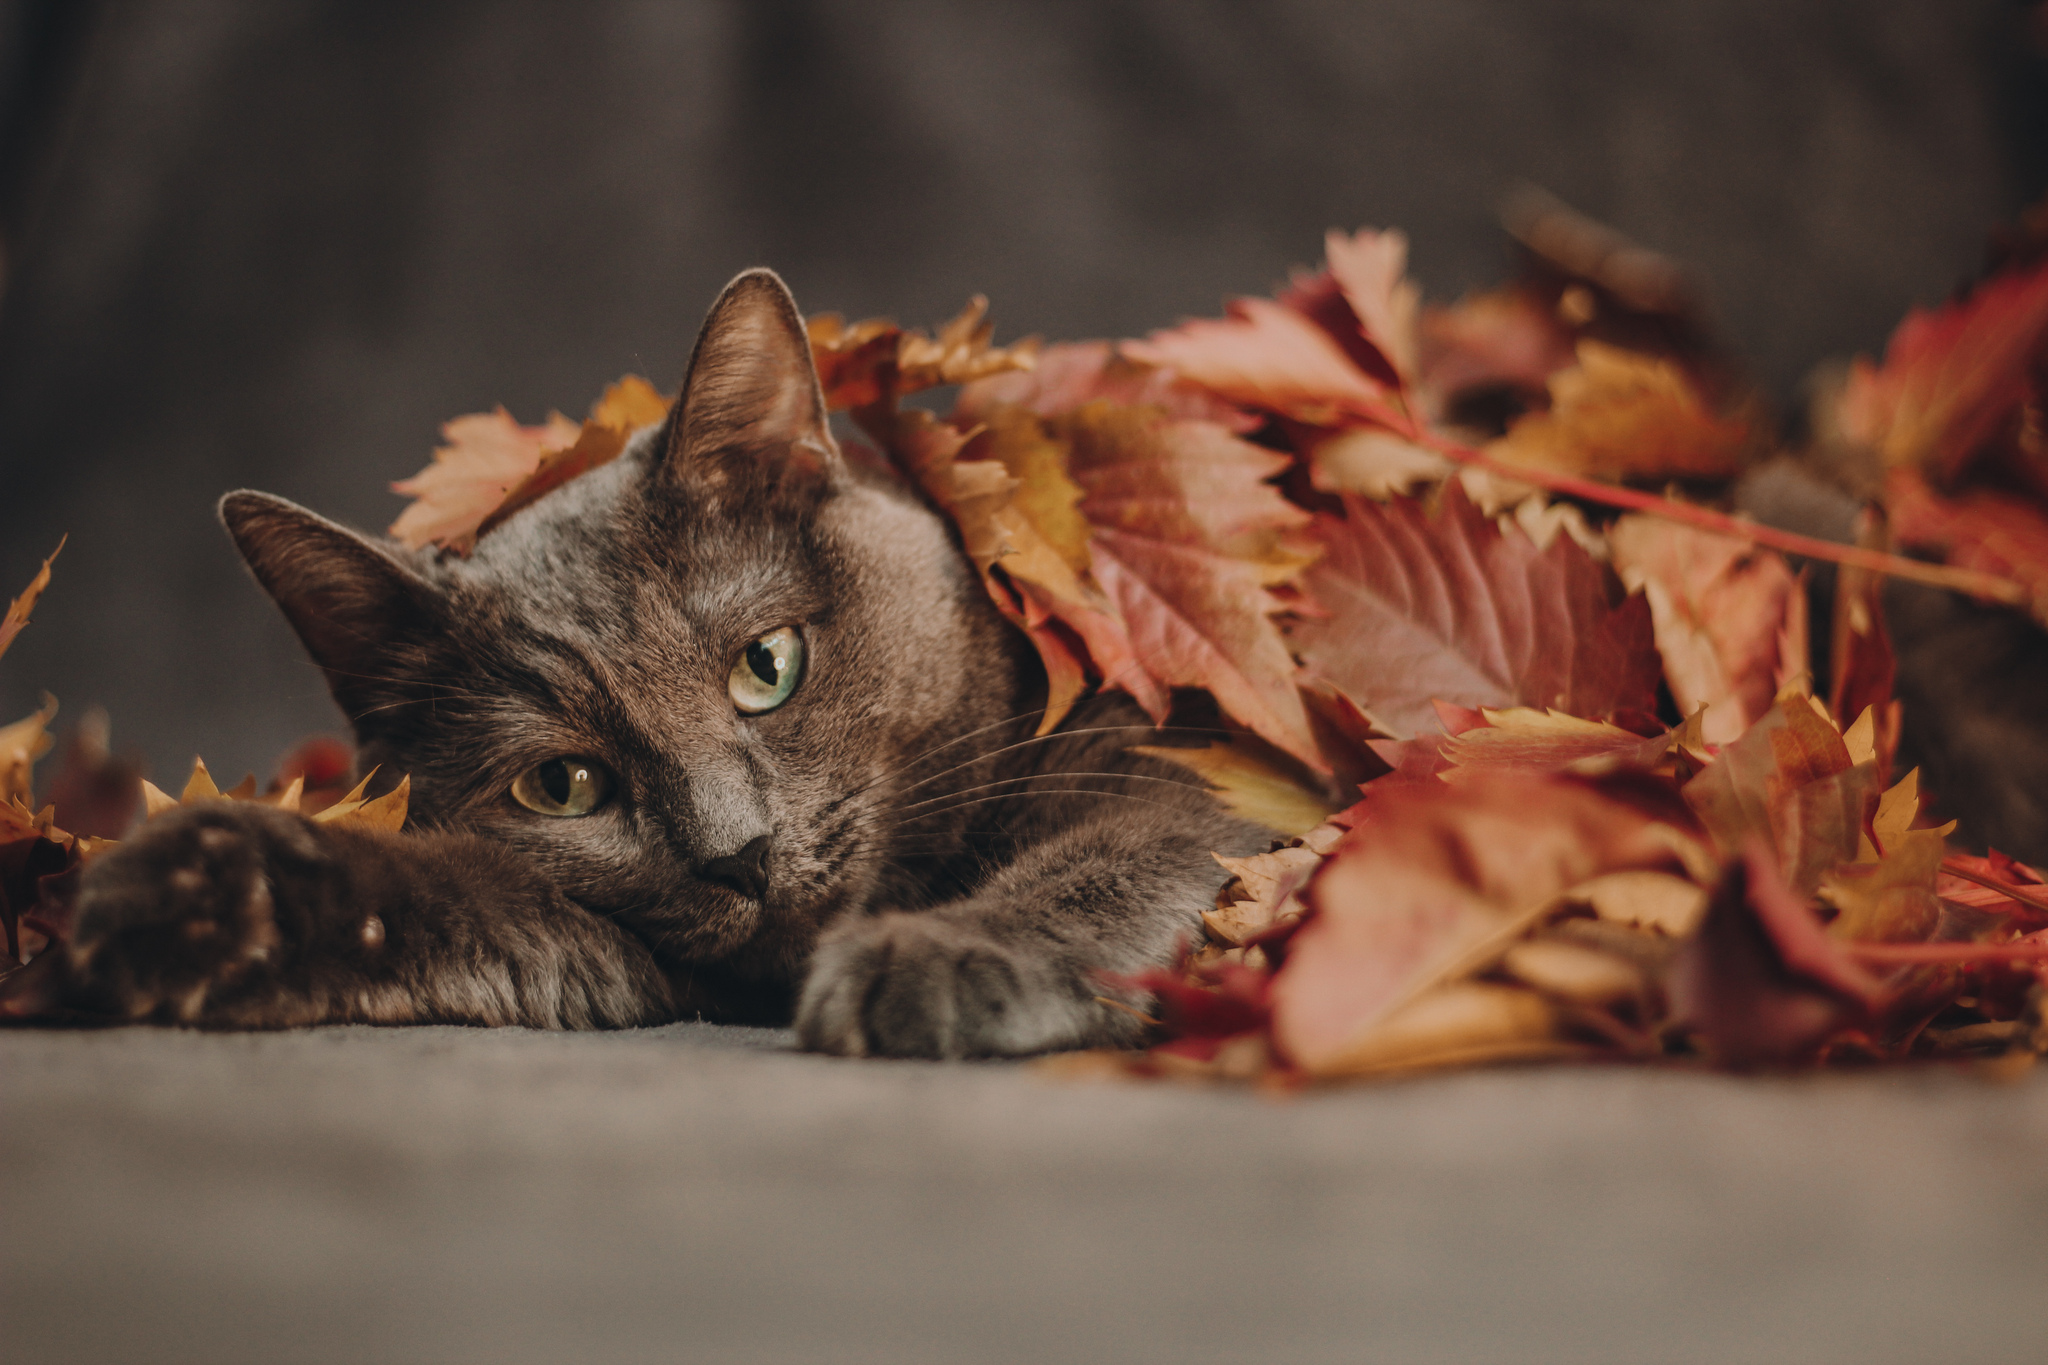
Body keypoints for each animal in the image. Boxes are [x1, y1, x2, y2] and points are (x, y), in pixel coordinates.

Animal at [36, 270, 1261, 1055]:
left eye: (767, 665)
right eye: (561, 784)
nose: (740, 854)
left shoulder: (1202, 768)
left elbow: (1128, 852)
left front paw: (936, 958)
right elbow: (478, 904)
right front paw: (191, 895)